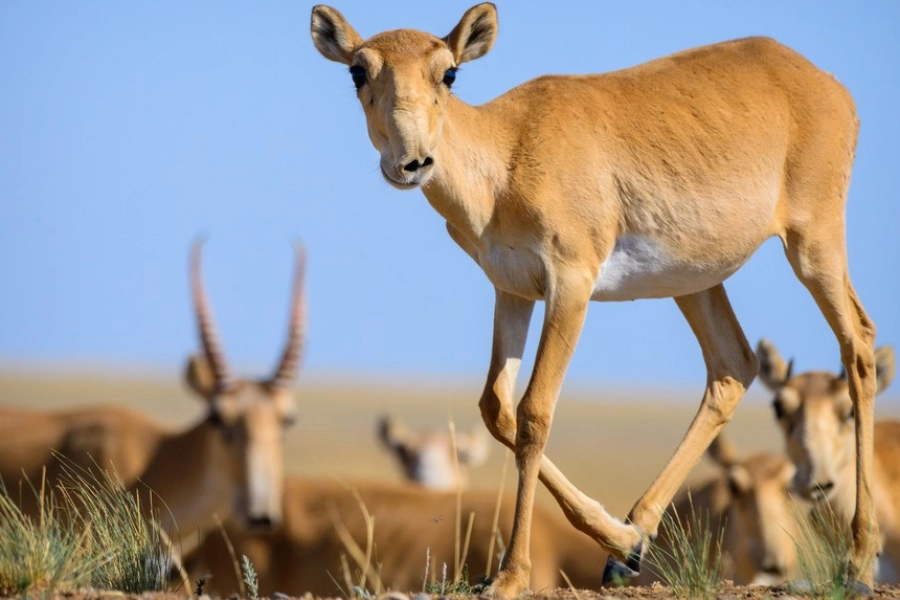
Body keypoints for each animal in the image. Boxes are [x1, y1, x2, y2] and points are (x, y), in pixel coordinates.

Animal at [312, 3, 880, 596]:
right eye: (358, 70)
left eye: (448, 72)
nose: (412, 163)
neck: (510, 149)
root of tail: (820, 81)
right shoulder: (512, 291)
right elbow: (496, 408)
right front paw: (622, 541)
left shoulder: (570, 287)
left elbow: (535, 412)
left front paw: (510, 576)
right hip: (696, 283)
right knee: (732, 367)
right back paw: (632, 539)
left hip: (813, 246)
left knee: (858, 346)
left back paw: (858, 561)